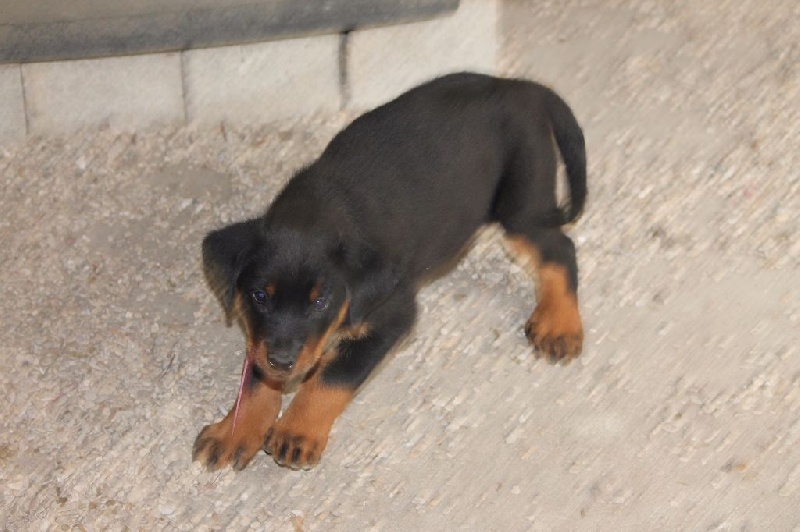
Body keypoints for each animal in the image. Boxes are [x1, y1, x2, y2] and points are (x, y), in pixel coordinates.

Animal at [192, 72, 587, 471]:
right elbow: (256, 380)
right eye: (259, 296)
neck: (324, 207)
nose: (283, 362)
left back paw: (559, 324)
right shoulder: (261, 338)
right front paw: (235, 432)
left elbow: (333, 377)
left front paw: (296, 431)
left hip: (522, 204)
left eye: (320, 303)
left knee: (561, 250)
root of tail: (521, 86)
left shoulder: (393, 317)